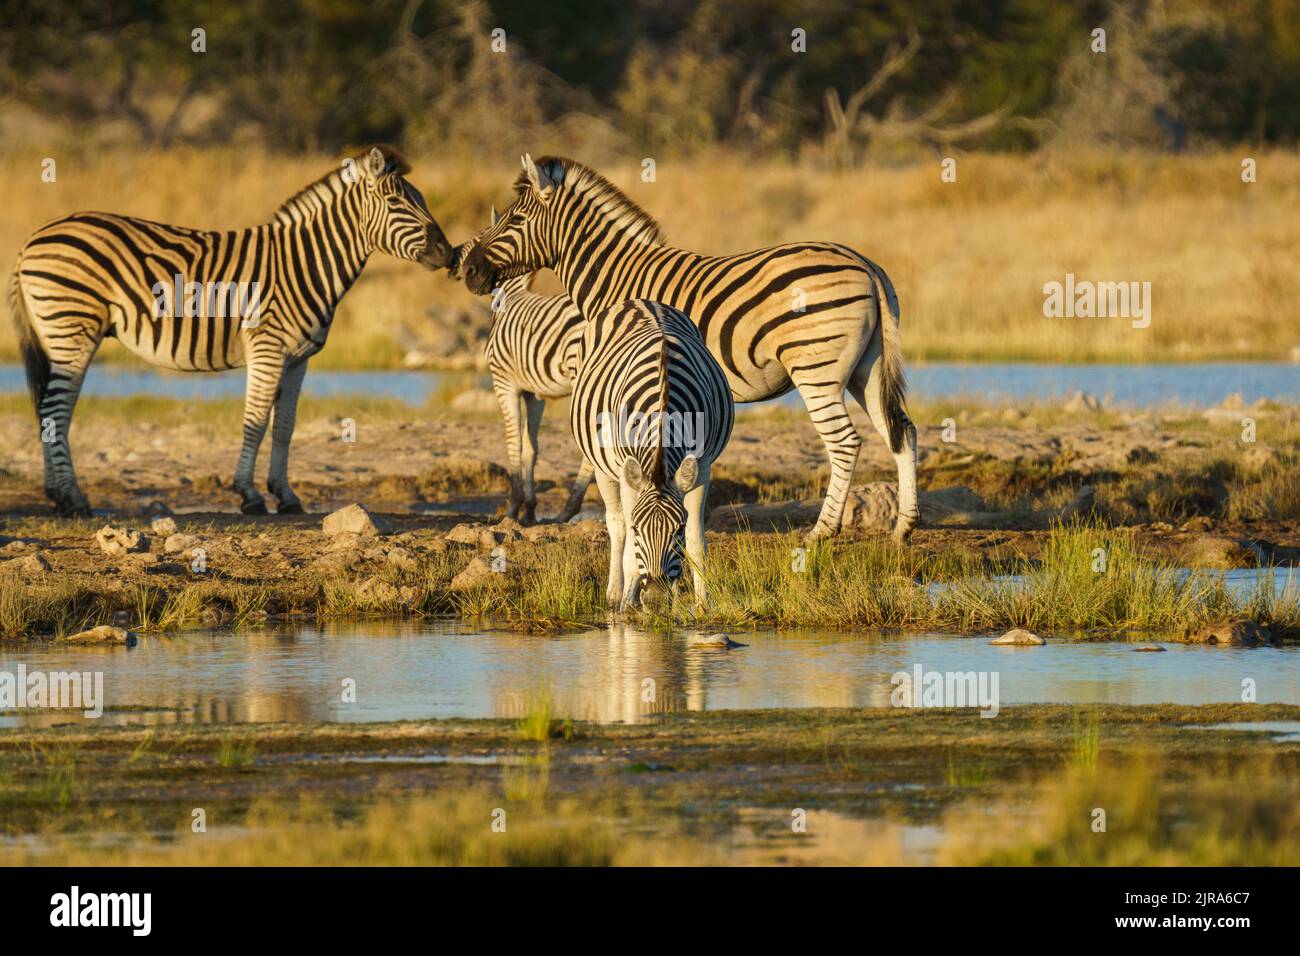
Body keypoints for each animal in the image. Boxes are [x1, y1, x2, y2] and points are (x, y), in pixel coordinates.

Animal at [10, 145, 452, 515]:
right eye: (396, 202)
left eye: (423, 200)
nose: (448, 253)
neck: (305, 263)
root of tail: (33, 238)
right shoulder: (267, 347)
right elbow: (254, 422)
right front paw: (249, 495)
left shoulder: (298, 360)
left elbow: (285, 427)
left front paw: (286, 496)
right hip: (72, 328)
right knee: (55, 409)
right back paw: (72, 500)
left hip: (59, 335)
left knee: (52, 410)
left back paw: (59, 496)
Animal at [447, 208, 590, 522]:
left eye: (477, 237)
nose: (452, 262)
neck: (508, 300)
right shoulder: (535, 394)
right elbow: (531, 449)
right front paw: (530, 509)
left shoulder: (504, 383)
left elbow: (514, 443)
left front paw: (513, 507)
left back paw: (569, 508)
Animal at [462, 158, 920, 546]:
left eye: (516, 219)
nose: (467, 271)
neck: (615, 279)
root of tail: (865, 265)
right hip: (866, 369)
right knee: (902, 431)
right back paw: (903, 527)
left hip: (816, 368)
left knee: (845, 443)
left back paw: (821, 532)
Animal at [569, 299, 733, 613]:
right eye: (638, 528)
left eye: (677, 528)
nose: (656, 598)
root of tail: (641, 301)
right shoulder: (627, 471)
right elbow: (629, 548)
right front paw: (627, 605)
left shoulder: (702, 465)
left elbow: (696, 541)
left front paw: (702, 605)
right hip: (602, 467)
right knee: (615, 524)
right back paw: (615, 594)